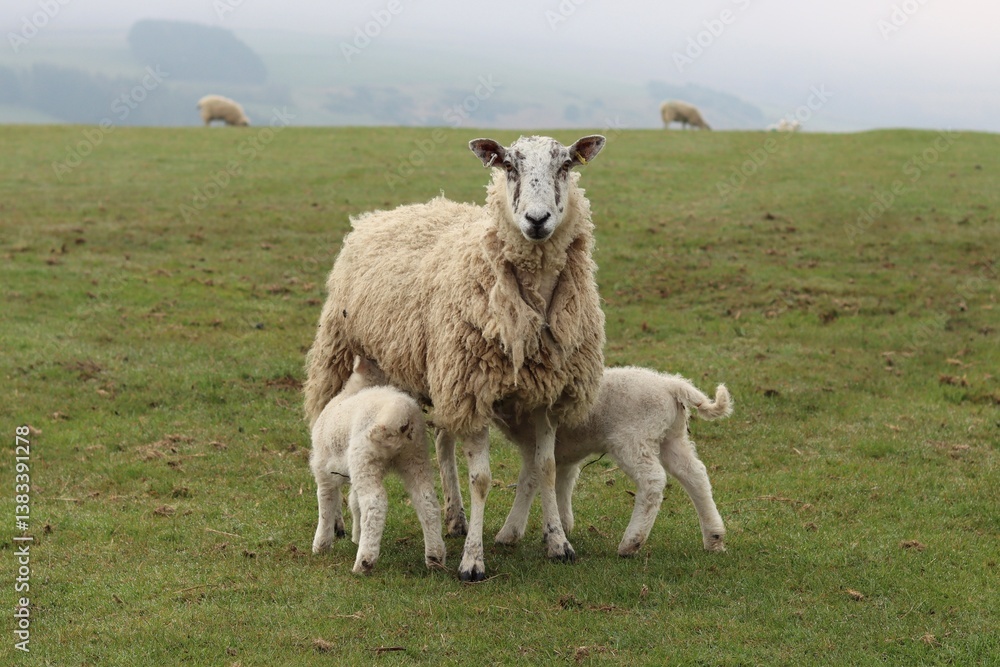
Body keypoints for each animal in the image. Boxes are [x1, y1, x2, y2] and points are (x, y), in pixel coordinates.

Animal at [310, 355, 445, 574]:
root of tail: (399, 415)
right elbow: (354, 502)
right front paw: (356, 535)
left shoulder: (323, 468)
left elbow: (326, 504)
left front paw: (321, 545)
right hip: (415, 456)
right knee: (427, 500)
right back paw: (435, 557)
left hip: (364, 457)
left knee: (374, 503)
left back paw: (364, 561)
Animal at [494, 366, 732, 556]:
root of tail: (671, 385)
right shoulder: (565, 452)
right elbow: (562, 483)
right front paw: (562, 525)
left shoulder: (534, 445)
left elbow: (528, 483)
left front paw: (509, 532)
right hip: (672, 437)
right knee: (695, 474)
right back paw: (714, 537)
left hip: (633, 438)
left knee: (652, 480)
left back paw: (631, 542)